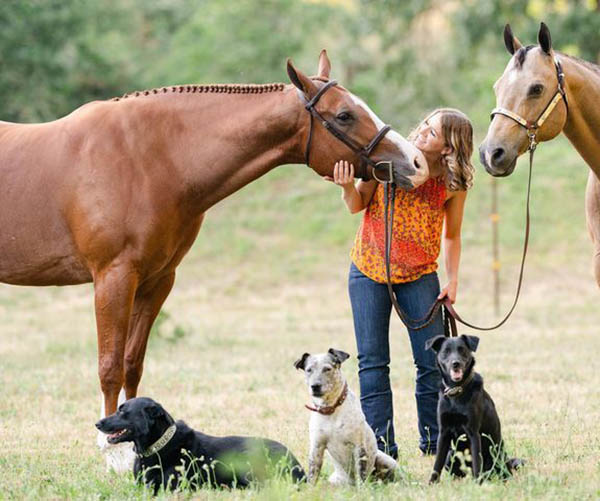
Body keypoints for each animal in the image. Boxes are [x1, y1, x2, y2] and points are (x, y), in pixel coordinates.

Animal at [0, 51, 432, 468]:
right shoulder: (114, 277)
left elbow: (132, 362)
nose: (416, 163)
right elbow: (109, 366)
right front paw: (113, 454)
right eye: (344, 114)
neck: (147, 159)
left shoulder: (157, 279)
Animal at [294, 346, 398, 482]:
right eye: (309, 370)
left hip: (386, 460)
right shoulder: (316, 448)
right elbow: (312, 476)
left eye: (327, 369)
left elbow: (361, 474)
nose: (315, 386)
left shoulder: (358, 447)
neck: (330, 409)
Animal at [424, 334, 524, 482]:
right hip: (451, 455)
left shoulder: (473, 432)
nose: (456, 363)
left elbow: (477, 462)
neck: (457, 391)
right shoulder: (443, 433)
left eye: (462, 350)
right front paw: (432, 483)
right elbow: (437, 464)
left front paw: (478, 484)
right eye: (446, 351)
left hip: (497, 455)